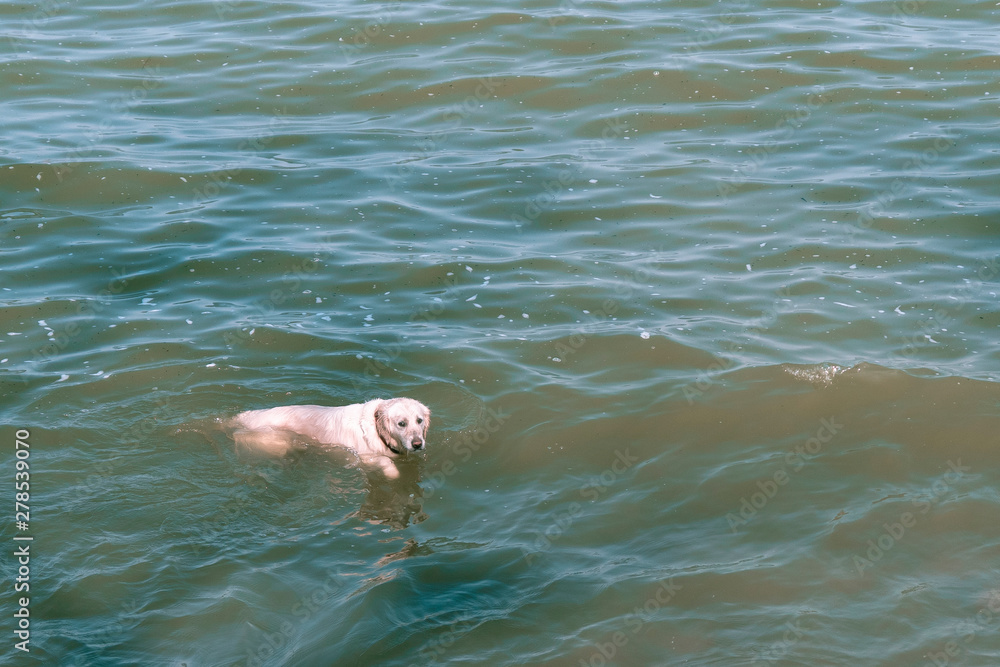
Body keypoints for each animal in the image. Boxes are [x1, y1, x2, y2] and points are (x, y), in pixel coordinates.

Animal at [232, 396, 432, 480]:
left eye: (419, 420)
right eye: (401, 423)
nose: (417, 444)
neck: (377, 429)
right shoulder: (364, 456)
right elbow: (385, 462)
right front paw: (393, 474)